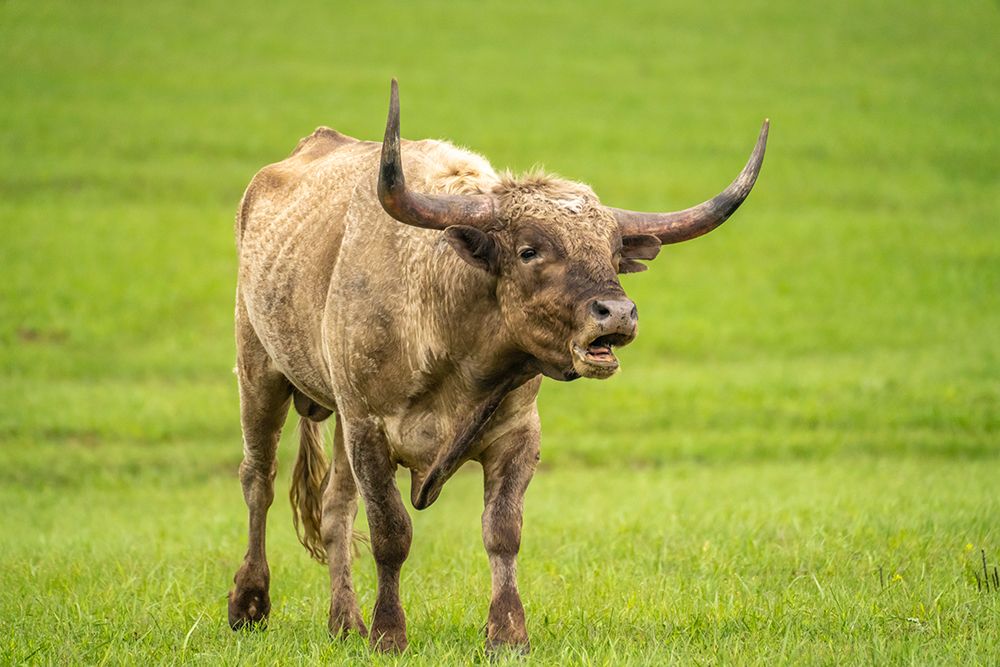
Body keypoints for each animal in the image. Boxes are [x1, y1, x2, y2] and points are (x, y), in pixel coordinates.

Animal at [227, 79, 767, 653]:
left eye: (612, 253)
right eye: (530, 250)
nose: (618, 313)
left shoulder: (515, 435)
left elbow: (502, 531)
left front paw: (508, 632)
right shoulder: (369, 429)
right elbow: (391, 534)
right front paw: (389, 634)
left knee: (333, 509)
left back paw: (344, 621)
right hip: (259, 374)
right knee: (258, 481)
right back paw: (250, 603)